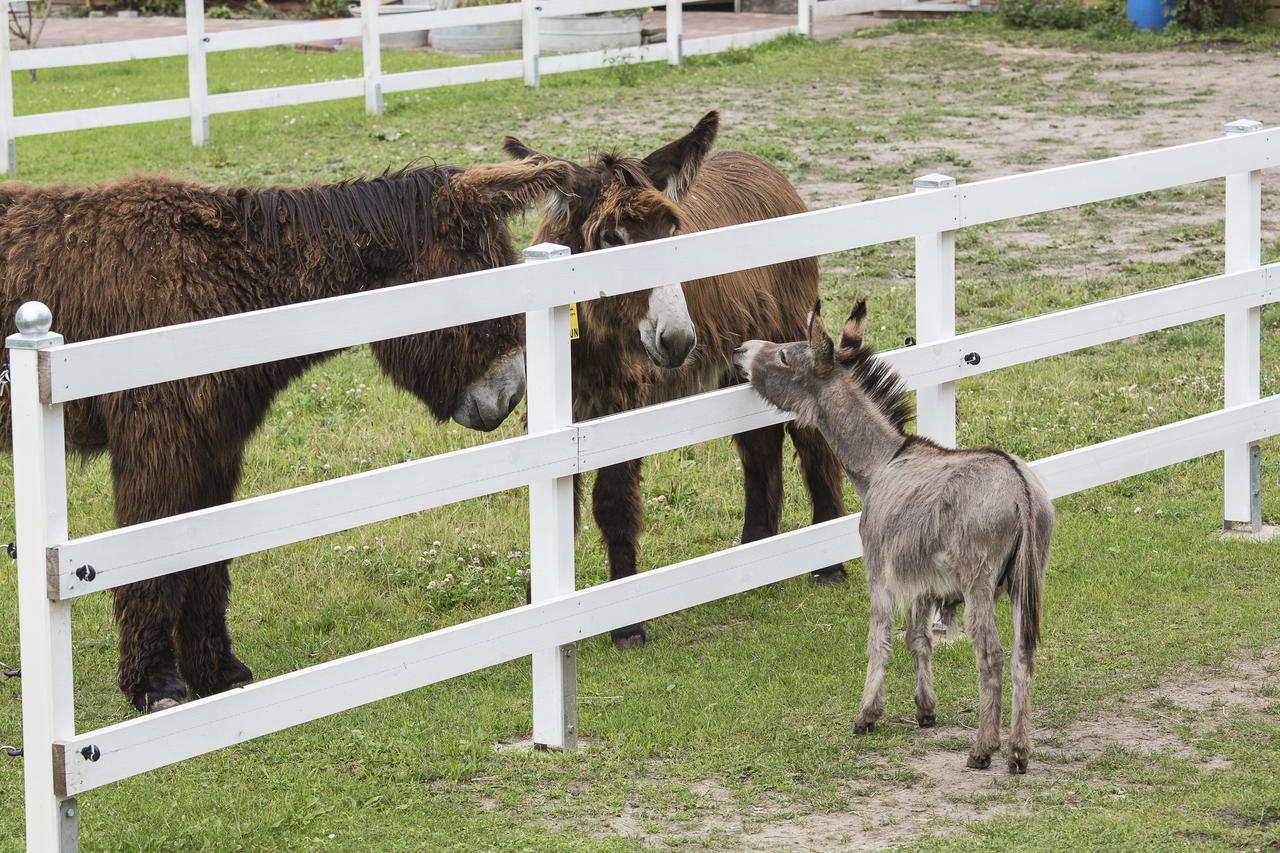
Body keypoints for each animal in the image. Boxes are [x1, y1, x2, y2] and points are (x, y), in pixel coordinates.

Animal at [737, 297, 1054, 768]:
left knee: (991, 656)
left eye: (784, 356)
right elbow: (917, 639)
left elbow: (879, 640)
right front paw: (925, 710)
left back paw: (984, 749)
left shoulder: (879, 572)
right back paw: (1018, 751)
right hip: (1025, 580)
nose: (741, 350)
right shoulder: (922, 581)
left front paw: (867, 715)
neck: (880, 461)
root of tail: (1020, 489)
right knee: (1023, 655)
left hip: (979, 582)